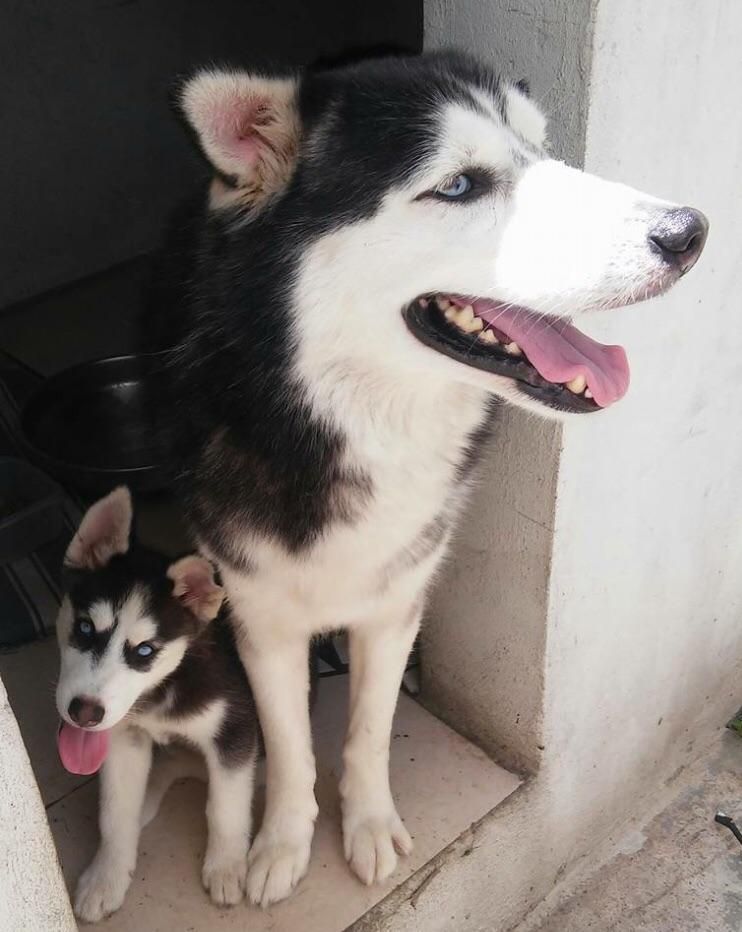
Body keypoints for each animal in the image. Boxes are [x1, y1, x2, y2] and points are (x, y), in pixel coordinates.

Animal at [56, 492, 258, 920]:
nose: (85, 712)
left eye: (145, 651)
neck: (165, 687)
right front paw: (106, 878)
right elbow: (115, 813)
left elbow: (225, 807)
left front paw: (226, 867)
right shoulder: (123, 737)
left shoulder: (235, 729)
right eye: (84, 628)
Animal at [142, 49, 712, 904]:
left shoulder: (398, 598)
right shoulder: (261, 615)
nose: (689, 231)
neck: (348, 423)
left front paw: (368, 825)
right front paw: (281, 843)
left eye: (542, 148)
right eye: (458, 184)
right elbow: (290, 743)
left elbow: (369, 732)